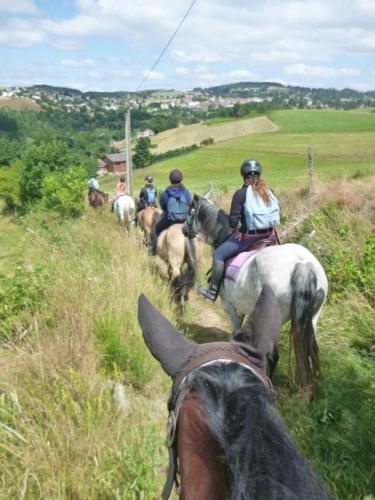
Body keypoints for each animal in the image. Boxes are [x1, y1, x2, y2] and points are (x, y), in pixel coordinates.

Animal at [183, 193, 328, 392]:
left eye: (190, 211)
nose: (183, 230)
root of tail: (302, 264)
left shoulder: (228, 305)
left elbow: (236, 327)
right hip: (313, 317)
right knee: (313, 352)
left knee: (274, 355)